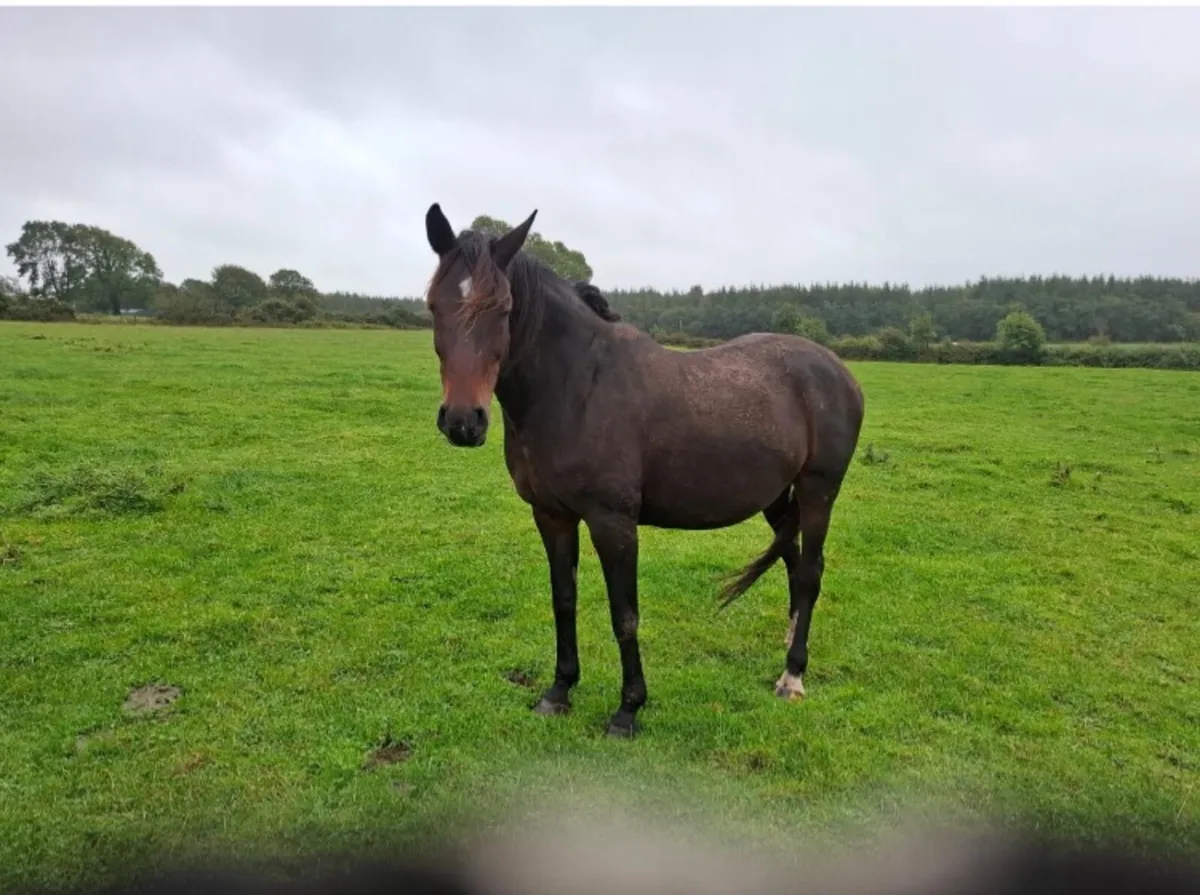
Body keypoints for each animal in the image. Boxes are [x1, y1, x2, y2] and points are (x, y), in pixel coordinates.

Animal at [422, 203, 865, 738]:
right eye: (433, 305)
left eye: (504, 309)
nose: (463, 421)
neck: (575, 387)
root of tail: (838, 370)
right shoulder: (552, 516)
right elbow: (563, 599)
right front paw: (559, 690)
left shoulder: (613, 522)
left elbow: (624, 614)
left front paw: (628, 709)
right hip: (778, 497)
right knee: (794, 563)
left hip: (819, 492)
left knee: (811, 572)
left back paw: (793, 676)